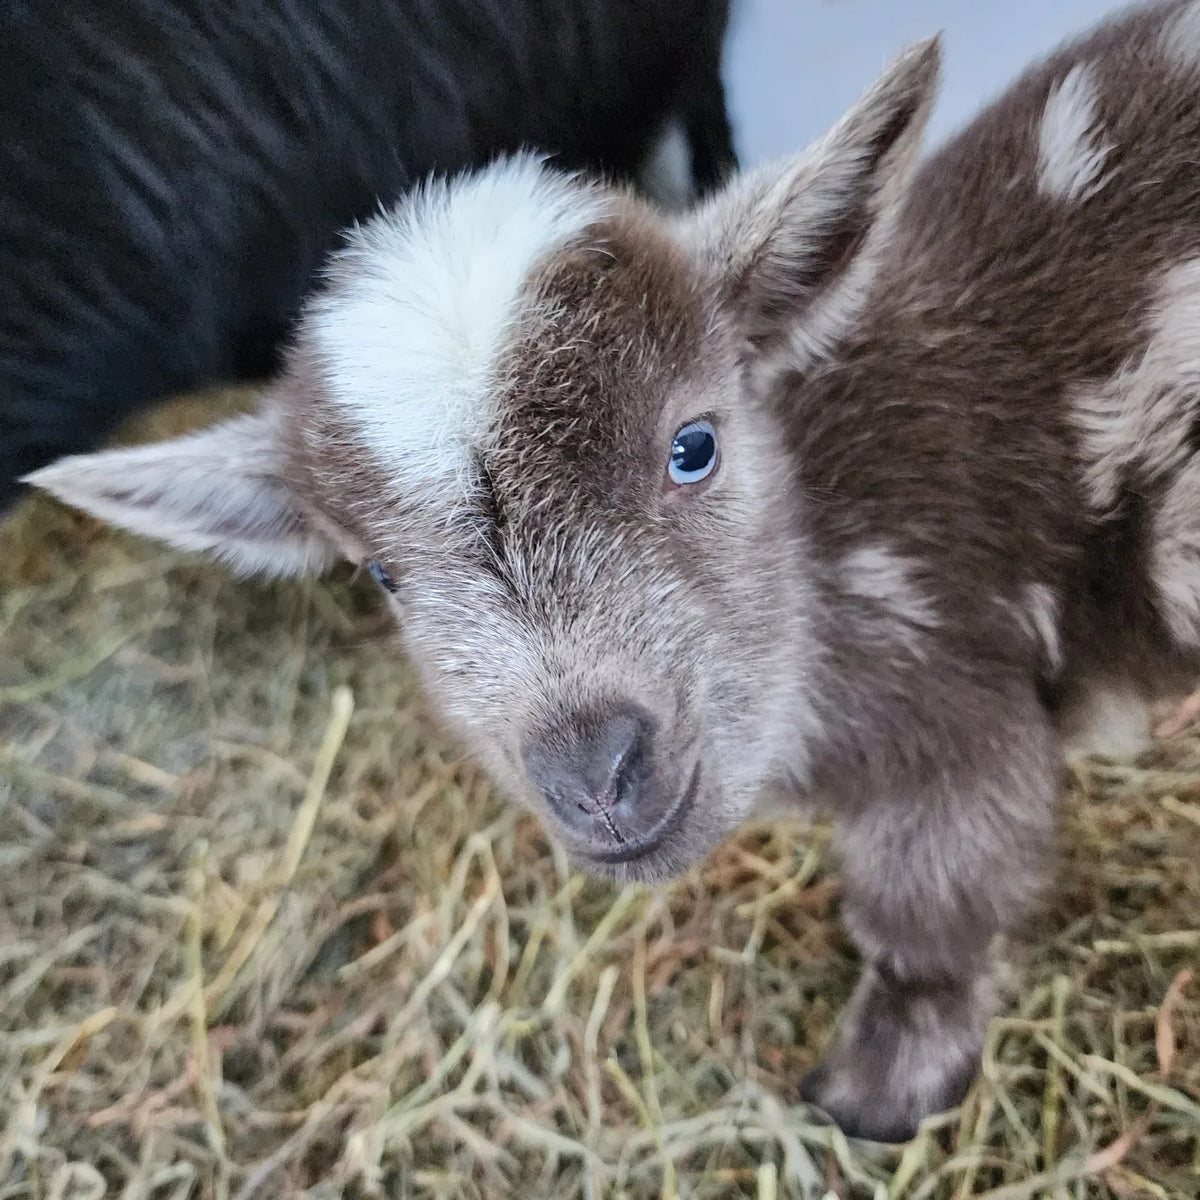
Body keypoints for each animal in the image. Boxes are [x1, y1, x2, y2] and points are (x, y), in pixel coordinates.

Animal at [23, 0, 1200, 1142]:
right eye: (383, 576)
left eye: (695, 445)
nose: (594, 774)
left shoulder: (957, 720)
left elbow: (932, 913)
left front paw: (878, 1090)